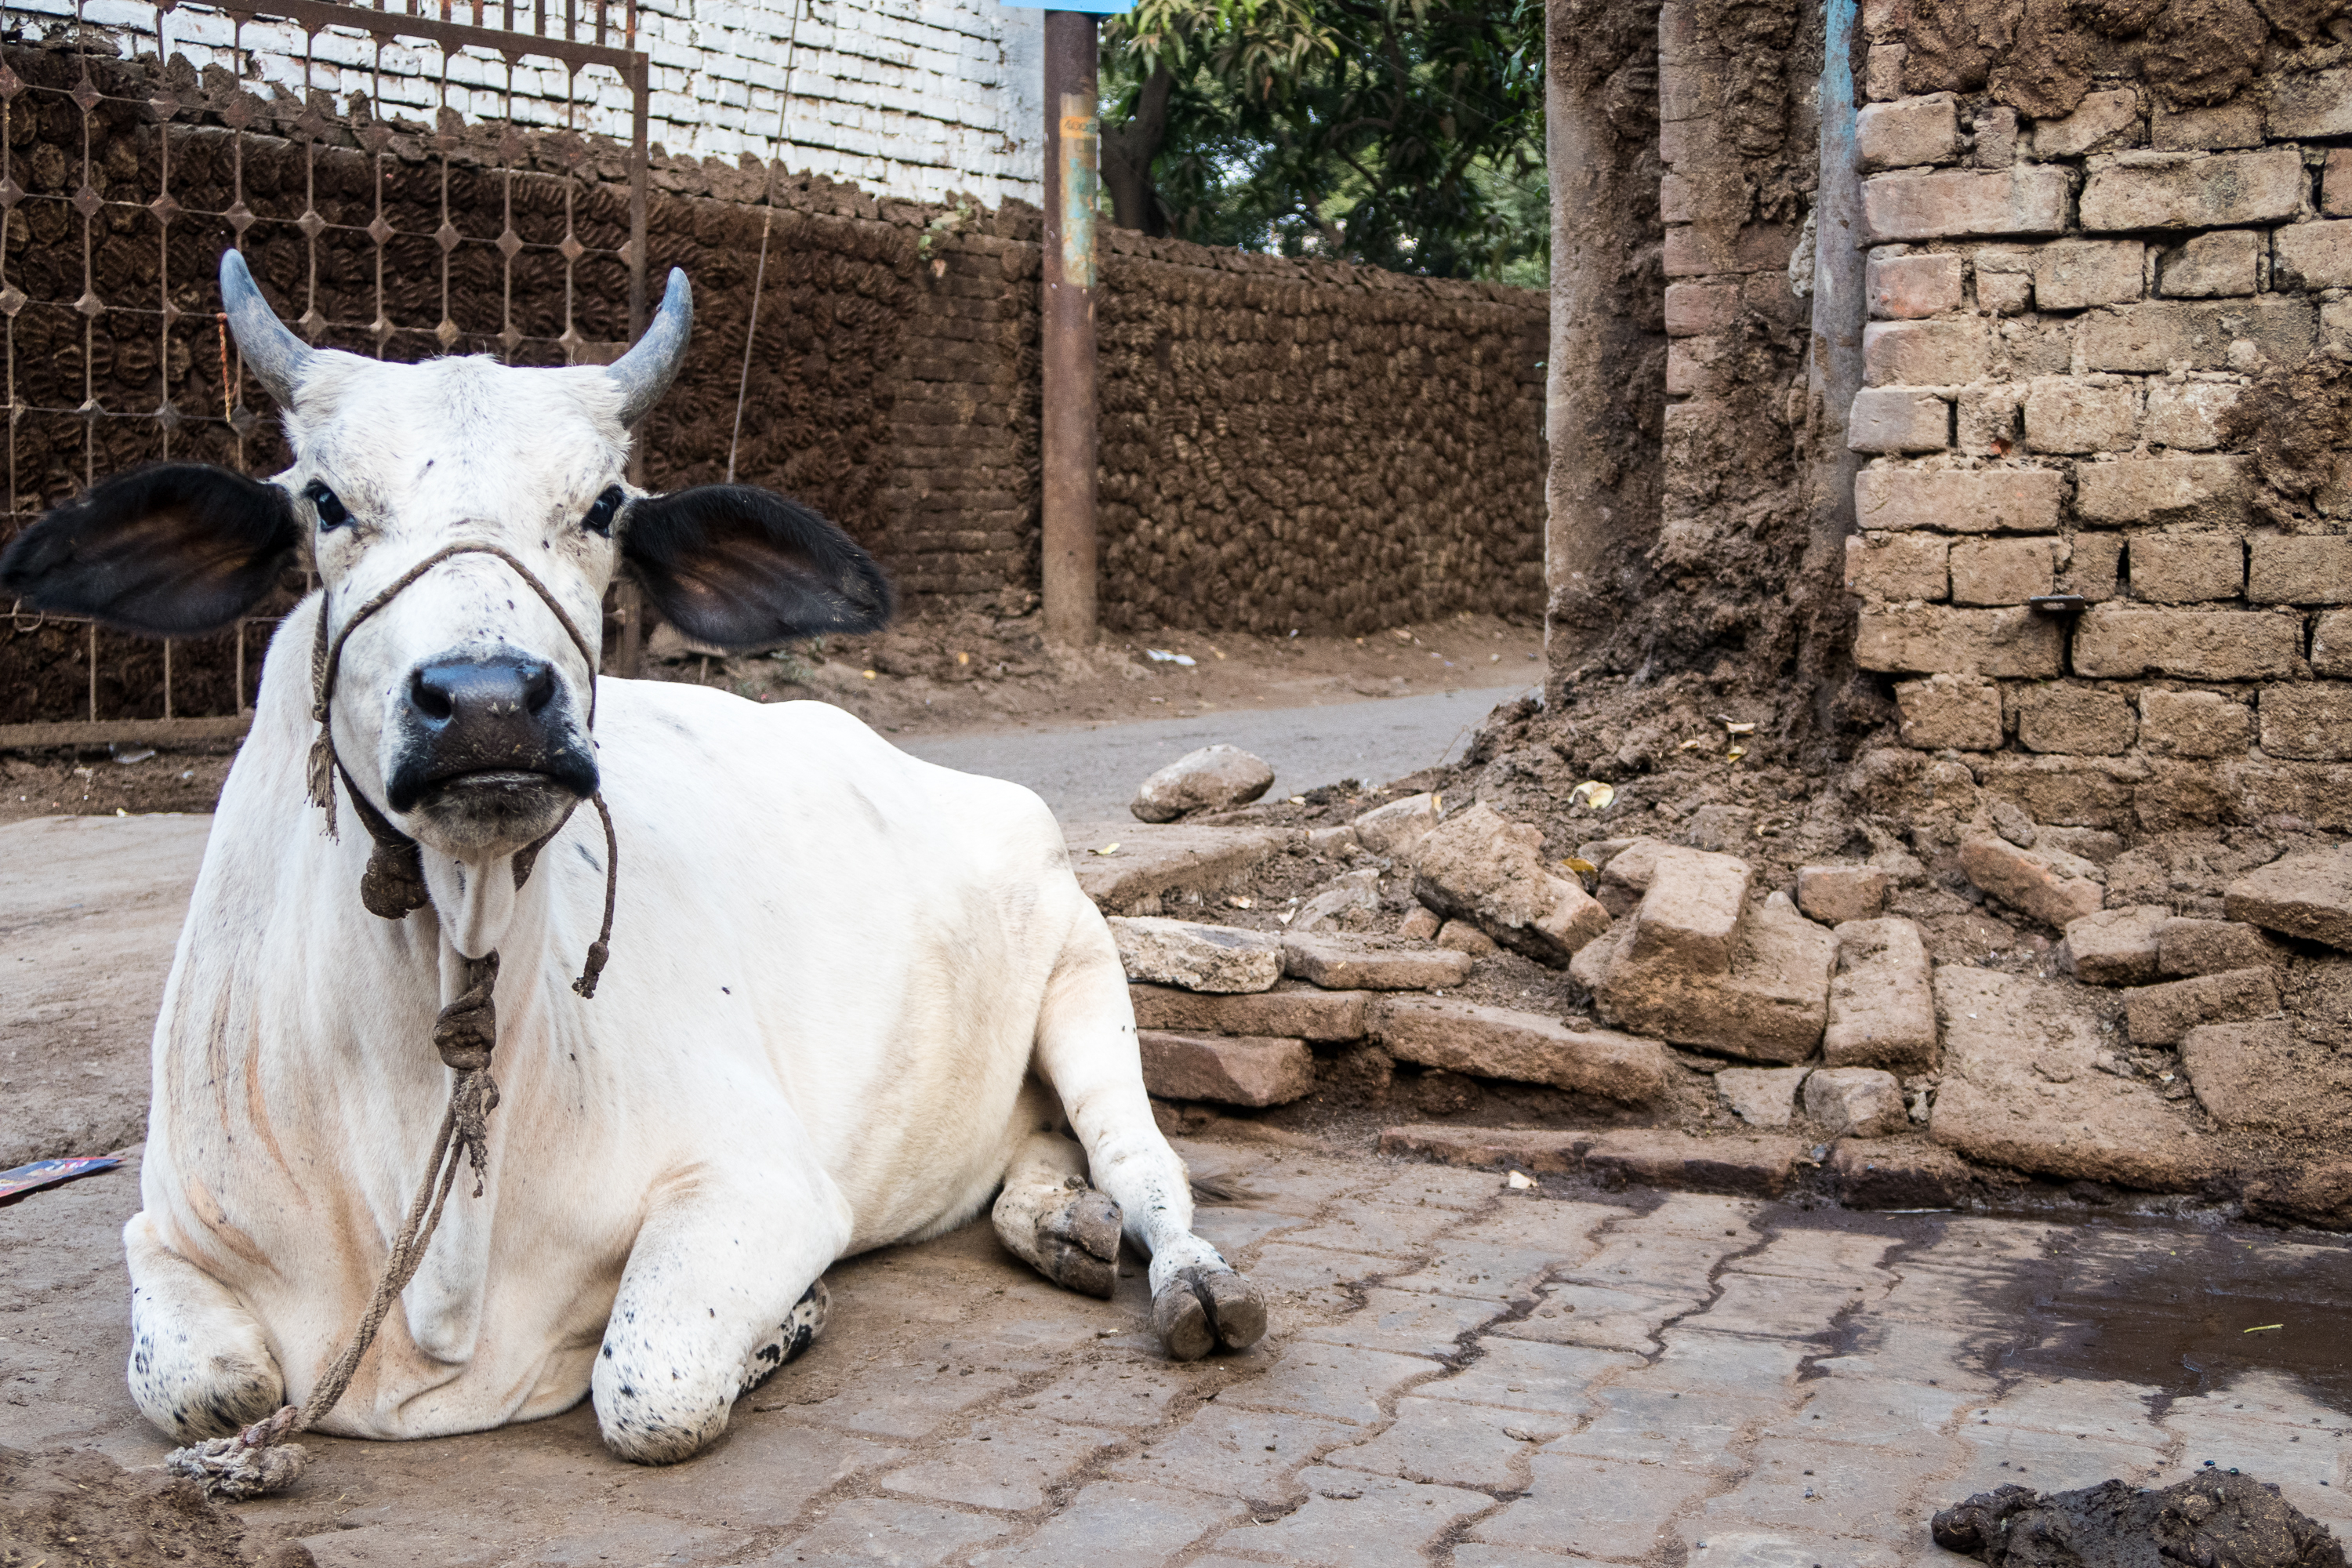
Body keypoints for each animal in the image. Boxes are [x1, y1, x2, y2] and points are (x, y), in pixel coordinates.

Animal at [0, 251, 1267, 1467]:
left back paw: (1187, 1278)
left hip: (1085, 978)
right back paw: (1056, 1224)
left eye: (603, 504)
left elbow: (650, 1385)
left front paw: (793, 1319)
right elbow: (204, 1385)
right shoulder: (166, 1231)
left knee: (1143, 1165)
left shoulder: (757, 1181)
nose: (487, 704)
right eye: (323, 500)